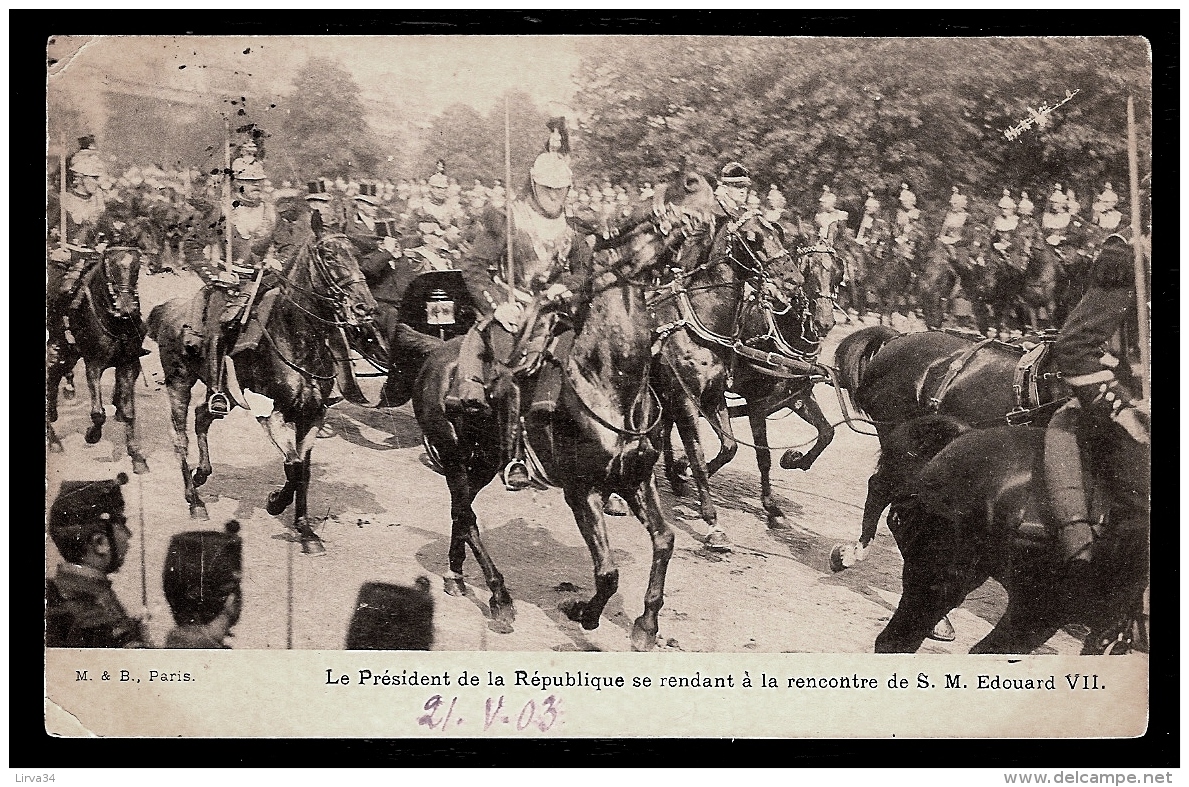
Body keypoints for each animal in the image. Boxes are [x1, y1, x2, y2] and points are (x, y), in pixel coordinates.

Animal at [47, 243, 152, 475]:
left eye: (136, 267)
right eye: (109, 268)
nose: (127, 307)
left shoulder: (126, 364)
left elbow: (129, 411)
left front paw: (137, 457)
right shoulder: (93, 365)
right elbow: (98, 413)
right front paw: (92, 435)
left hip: (69, 353)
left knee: (54, 377)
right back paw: (54, 440)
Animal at [147, 224, 380, 553]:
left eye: (356, 254)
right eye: (329, 255)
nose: (365, 307)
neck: (295, 339)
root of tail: (168, 308)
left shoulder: (312, 416)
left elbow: (304, 471)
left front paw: (306, 531)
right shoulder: (270, 413)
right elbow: (293, 466)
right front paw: (274, 503)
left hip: (225, 394)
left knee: (202, 416)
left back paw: (202, 474)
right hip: (179, 382)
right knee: (179, 437)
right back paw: (195, 501)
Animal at [413, 174, 708, 651]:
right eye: (639, 223)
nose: (695, 193)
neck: (610, 383)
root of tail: (431, 360)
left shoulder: (635, 480)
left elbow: (664, 540)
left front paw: (647, 624)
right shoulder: (581, 491)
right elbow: (607, 573)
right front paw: (582, 613)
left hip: (483, 462)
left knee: (463, 514)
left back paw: (457, 575)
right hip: (456, 460)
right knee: (467, 517)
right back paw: (499, 598)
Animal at [646, 206, 841, 546]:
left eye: (838, 271)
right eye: (810, 269)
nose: (823, 322)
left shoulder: (795, 396)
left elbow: (826, 433)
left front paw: (793, 461)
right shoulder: (754, 401)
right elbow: (757, 455)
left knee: (665, 424)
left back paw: (672, 472)